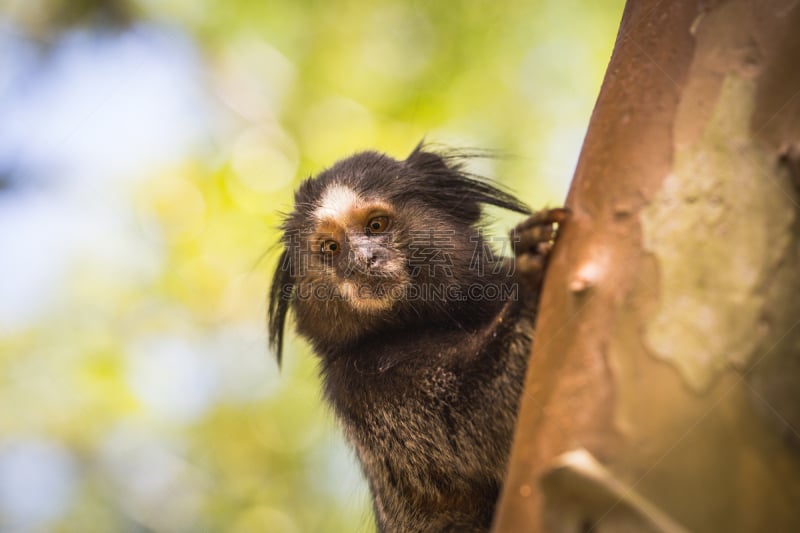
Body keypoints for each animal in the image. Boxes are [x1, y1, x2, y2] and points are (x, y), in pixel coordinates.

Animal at [272, 143, 564, 528]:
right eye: (331, 248)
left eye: (376, 225)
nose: (363, 260)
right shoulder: (362, 386)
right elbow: (481, 422)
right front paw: (531, 277)